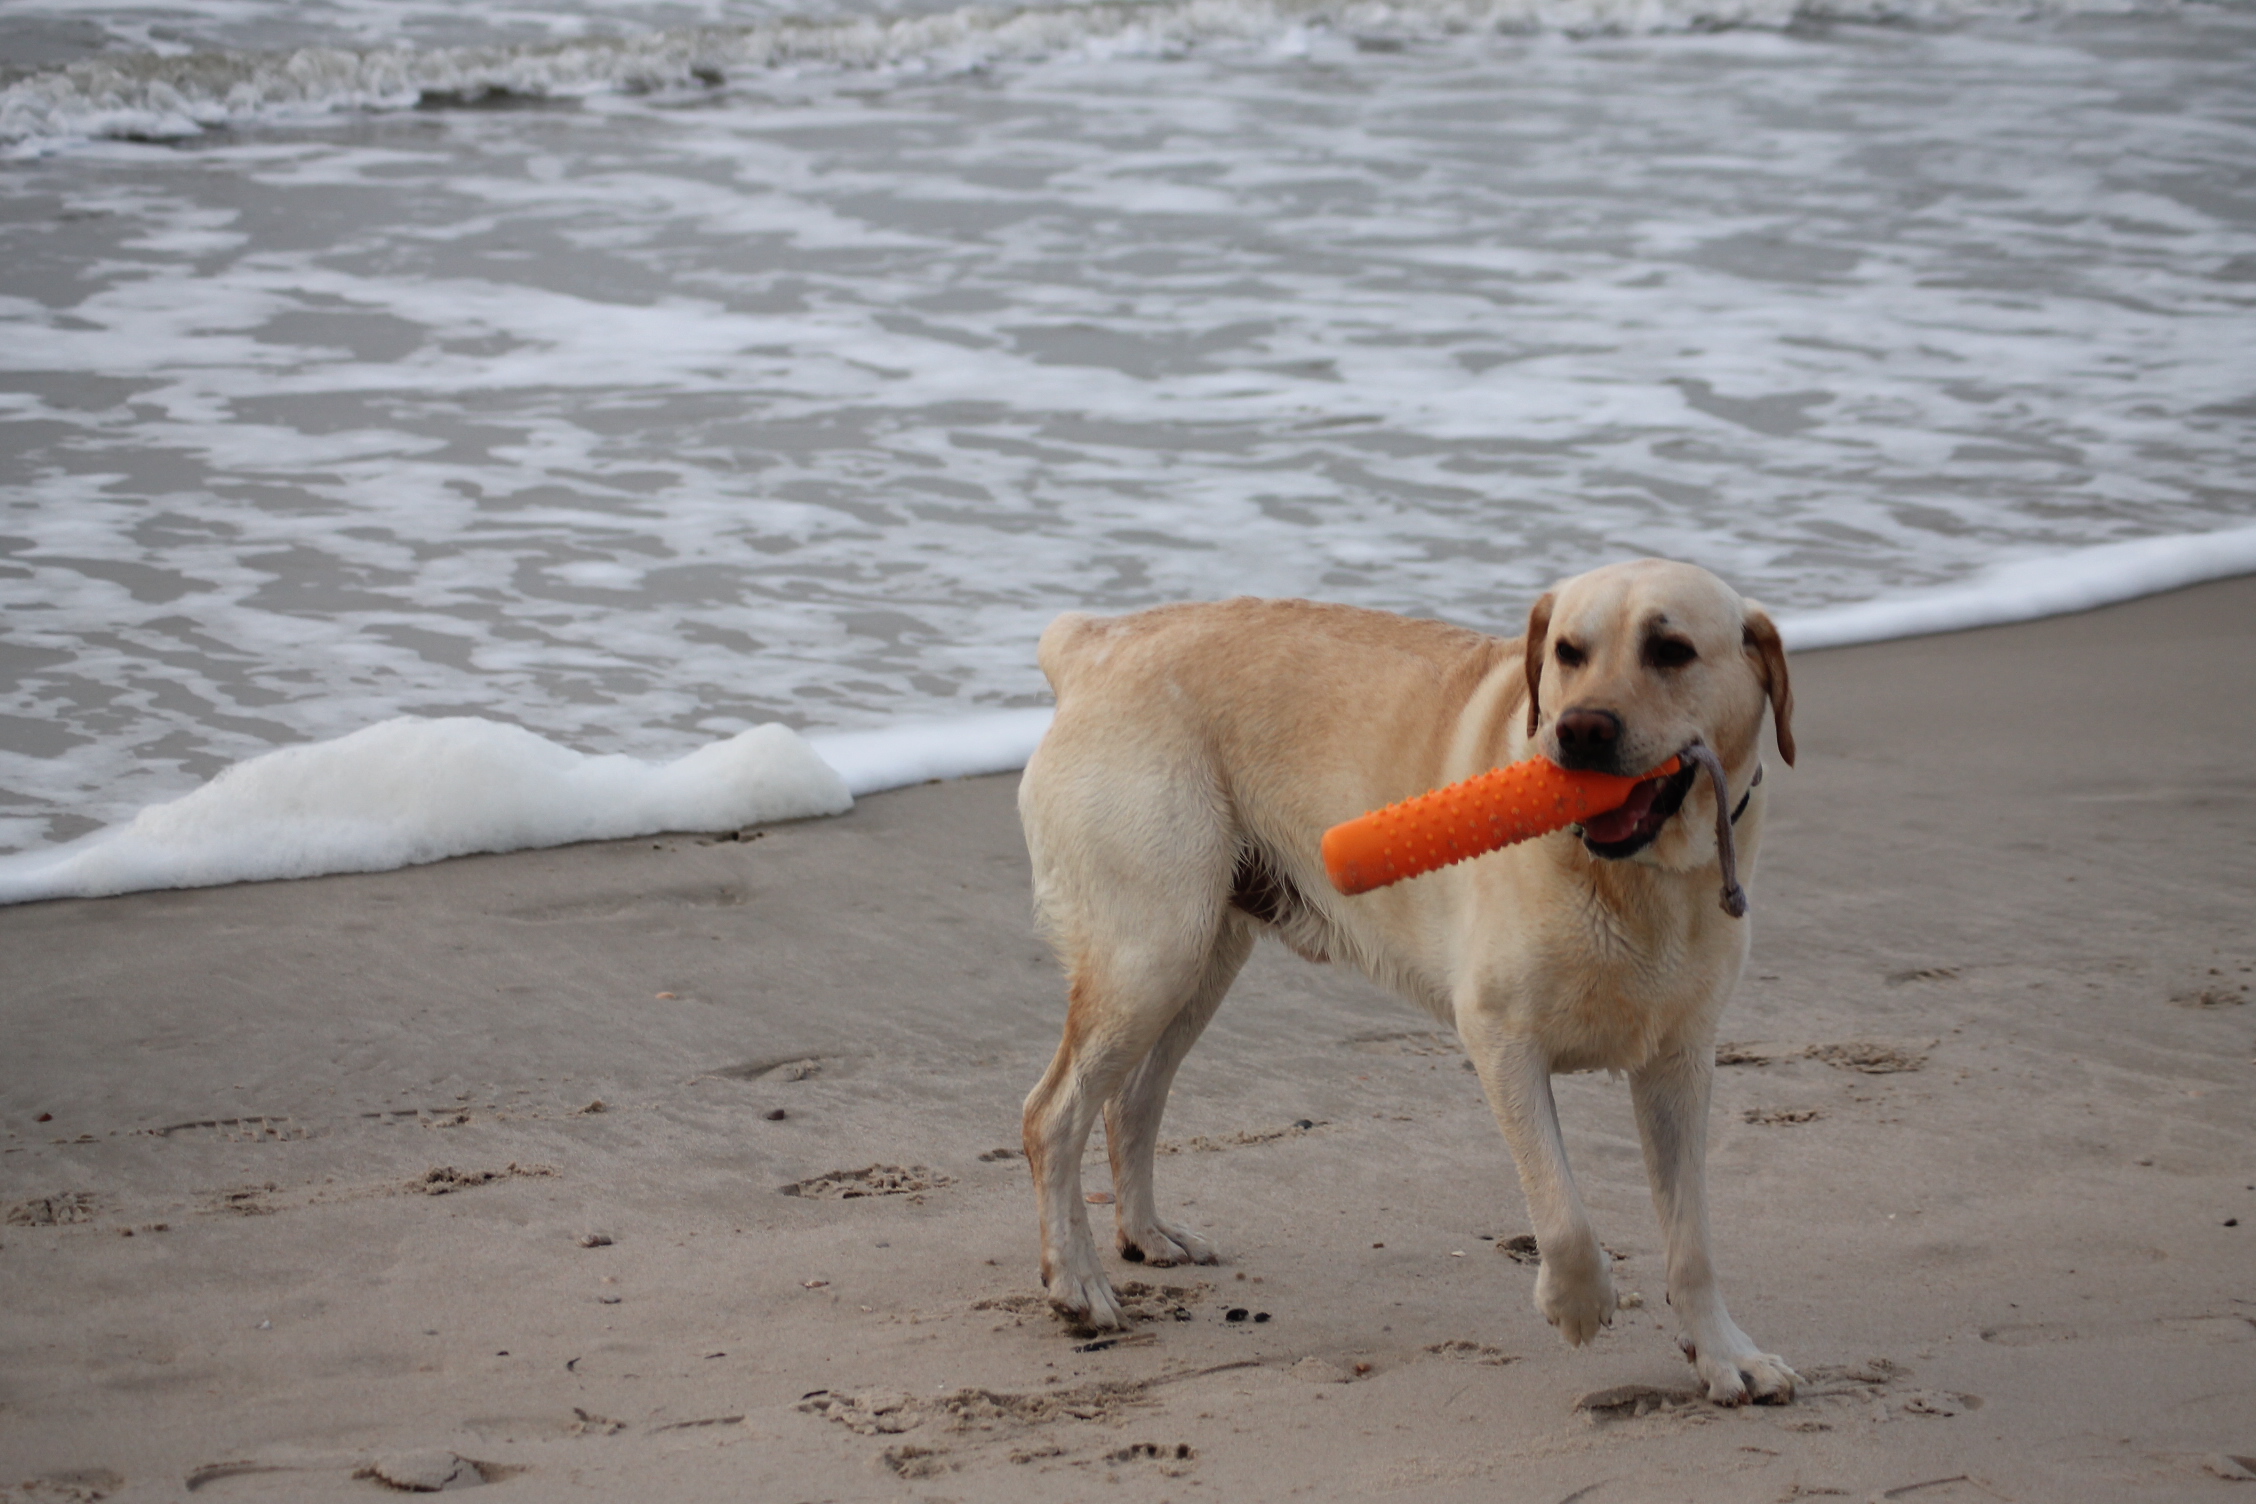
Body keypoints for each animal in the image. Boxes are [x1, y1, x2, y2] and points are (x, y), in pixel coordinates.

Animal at [1019, 559, 1795, 1407]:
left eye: (1672, 650)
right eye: (1569, 651)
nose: (1579, 731)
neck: (1638, 879)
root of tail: (1094, 643)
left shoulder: (1679, 1064)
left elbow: (1692, 1242)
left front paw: (1726, 1355)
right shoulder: (1500, 1036)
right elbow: (1563, 1215)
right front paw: (1579, 1304)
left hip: (1201, 958)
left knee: (1131, 1100)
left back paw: (1147, 1235)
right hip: (1151, 951)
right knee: (1052, 1114)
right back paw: (1077, 1283)